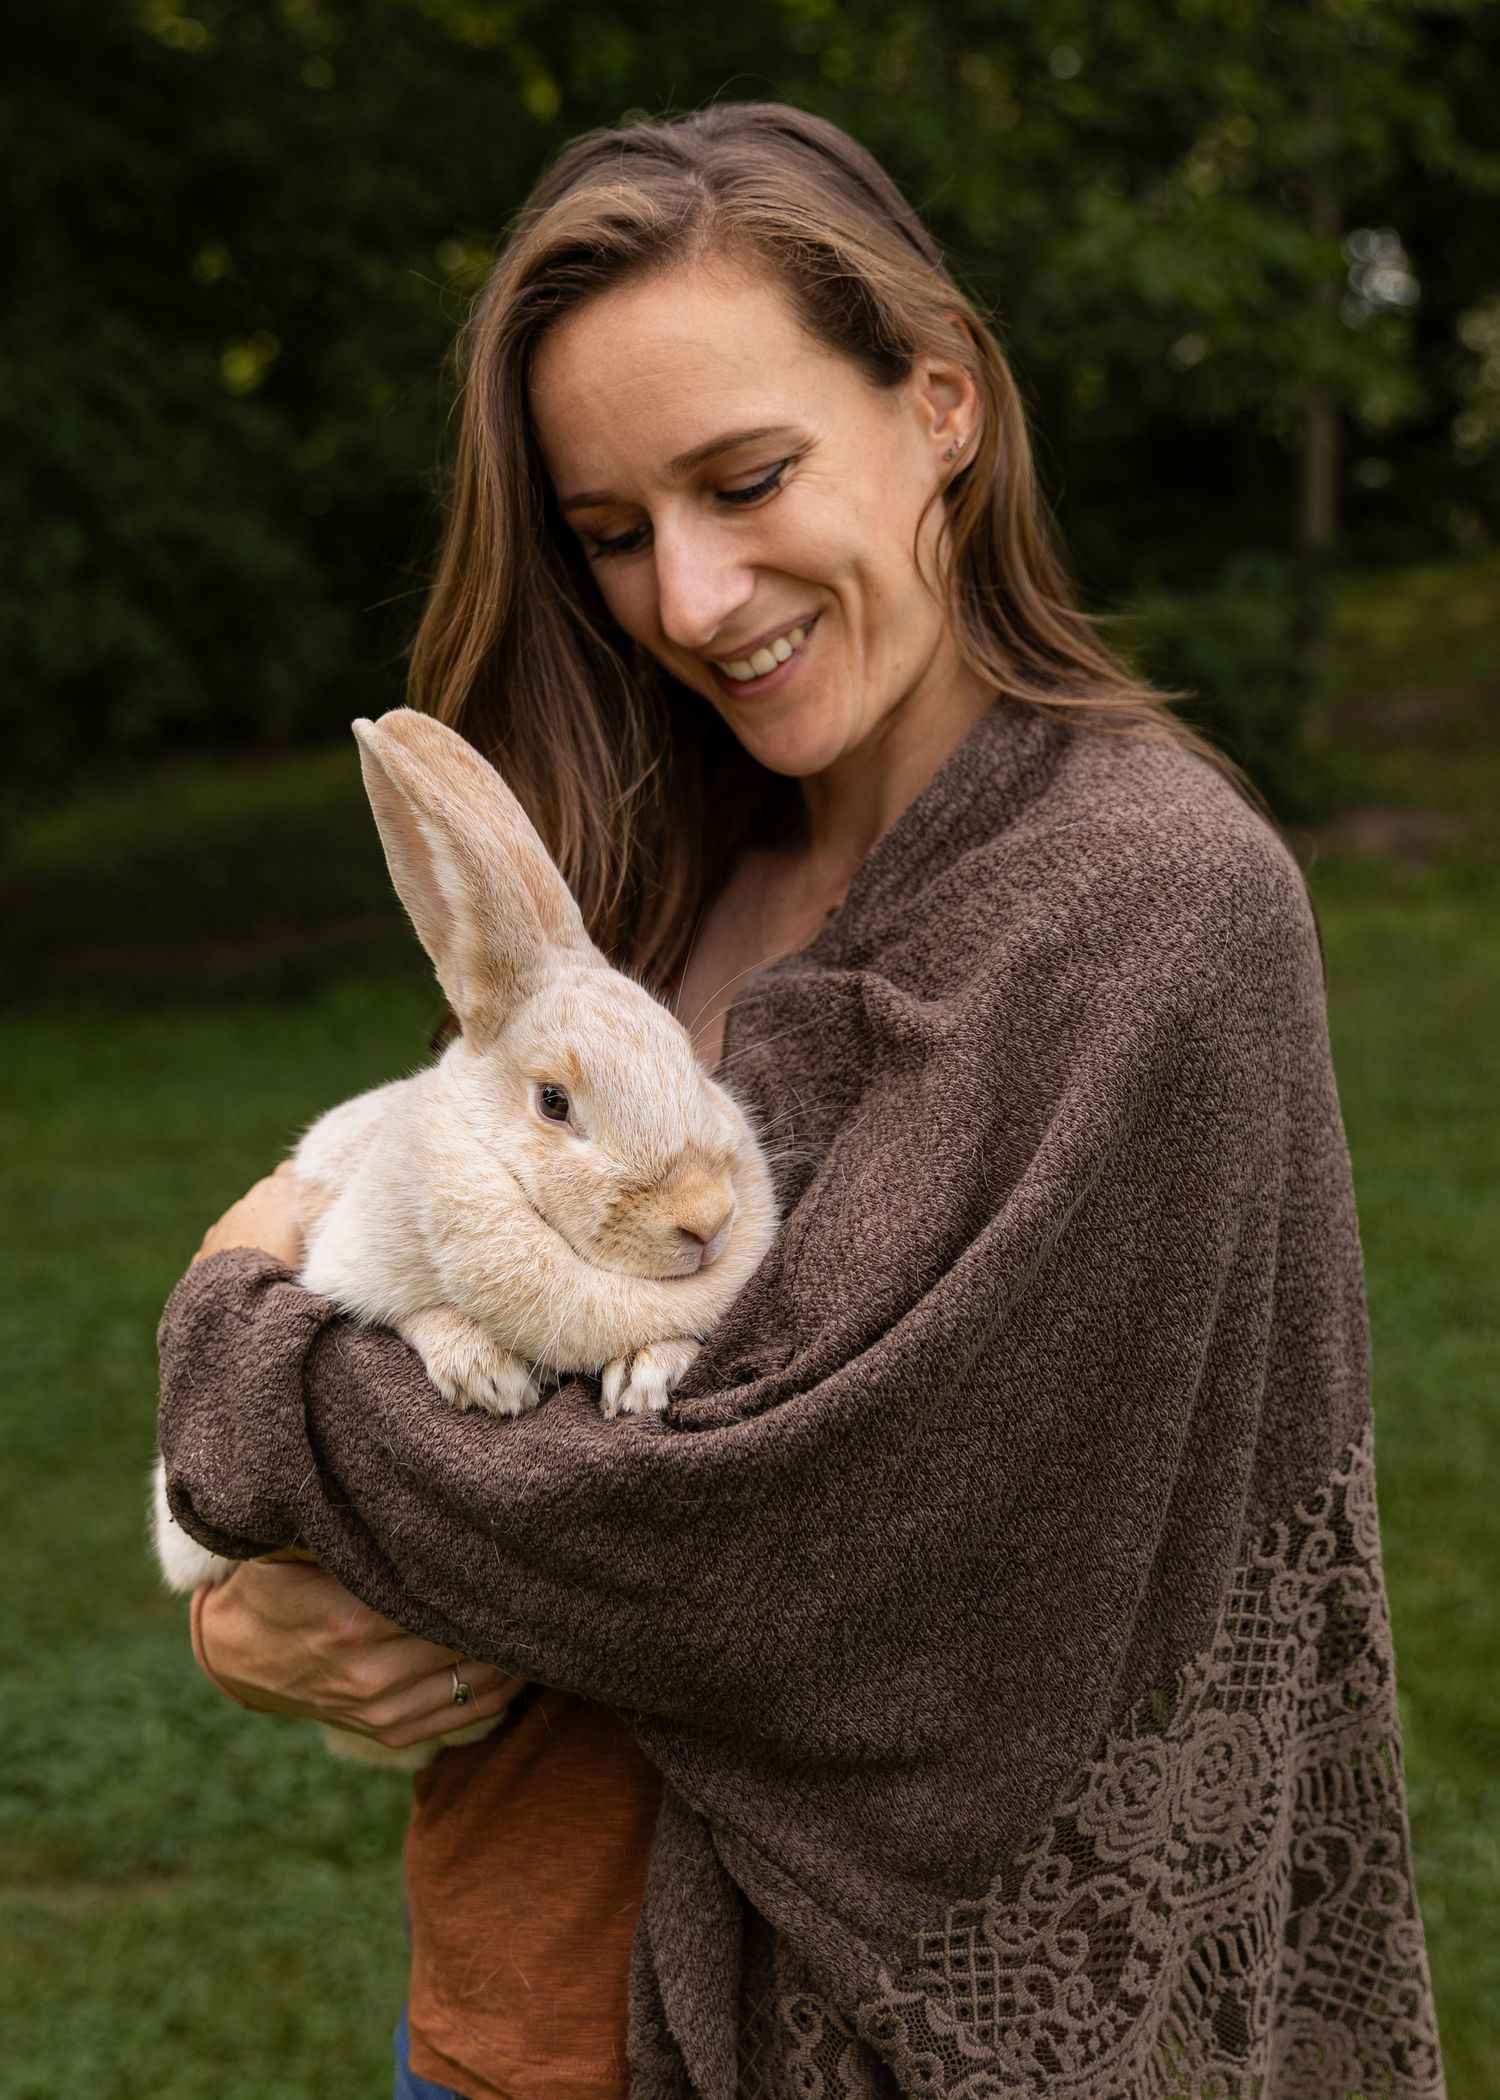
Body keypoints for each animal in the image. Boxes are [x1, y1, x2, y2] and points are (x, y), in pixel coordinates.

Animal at [151, 705, 780, 1768]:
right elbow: (409, 1311)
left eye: (690, 1061)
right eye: (554, 1102)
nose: (705, 1217)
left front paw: (644, 1377)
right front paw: (490, 1378)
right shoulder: (349, 1260)